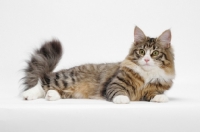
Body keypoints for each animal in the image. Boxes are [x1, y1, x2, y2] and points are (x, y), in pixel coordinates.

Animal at [21, 26, 175, 103]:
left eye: (155, 53)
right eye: (142, 52)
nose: (147, 60)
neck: (147, 74)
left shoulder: (152, 88)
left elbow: (154, 93)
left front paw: (161, 98)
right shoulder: (115, 83)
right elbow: (118, 92)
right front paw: (122, 99)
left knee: (52, 90)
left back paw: (51, 95)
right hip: (66, 78)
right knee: (42, 82)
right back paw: (27, 95)